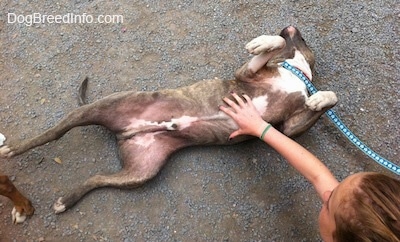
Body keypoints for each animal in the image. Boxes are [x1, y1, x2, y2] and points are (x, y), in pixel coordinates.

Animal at [0, 27, 338, 216]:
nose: (289, 25)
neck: (295, 74)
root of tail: (125, 133)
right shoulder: (247, 74)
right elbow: (267, 51)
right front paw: (264, 42)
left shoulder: (289, 129)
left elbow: (322, 104)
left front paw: (322, 98)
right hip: (95, 111)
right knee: (53, 134)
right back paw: (12, 150)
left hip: (142, 171)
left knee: (97, 178)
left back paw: (66, 200)